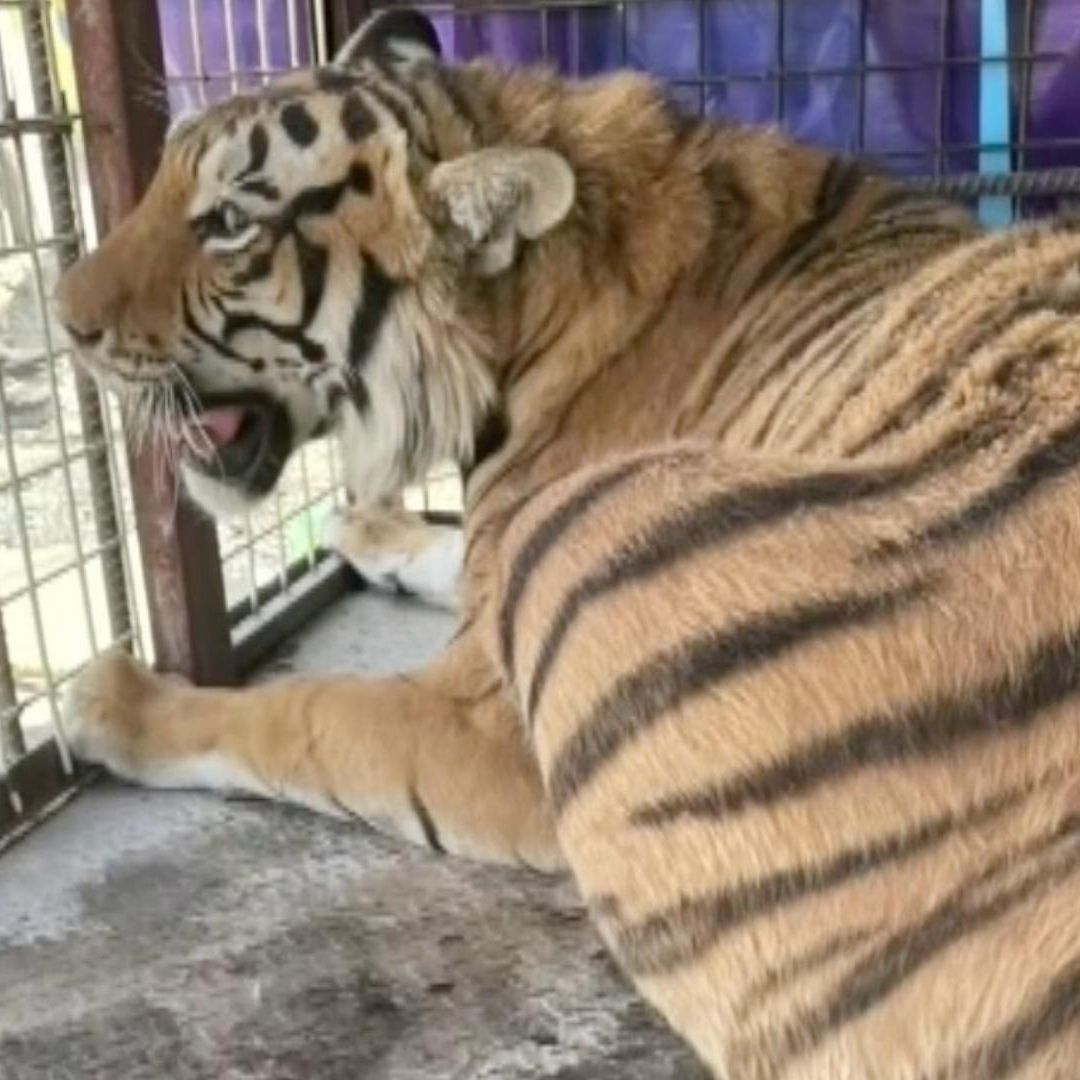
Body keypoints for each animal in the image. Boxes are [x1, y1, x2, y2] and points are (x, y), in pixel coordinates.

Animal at [52, 5, 1080, 1074]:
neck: (518, 313)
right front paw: (369, 523)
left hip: (595, 536)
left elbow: (300, 713)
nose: (59, 318)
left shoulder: (485, 716)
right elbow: (452, 553)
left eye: (229, 224)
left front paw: (116, 701)